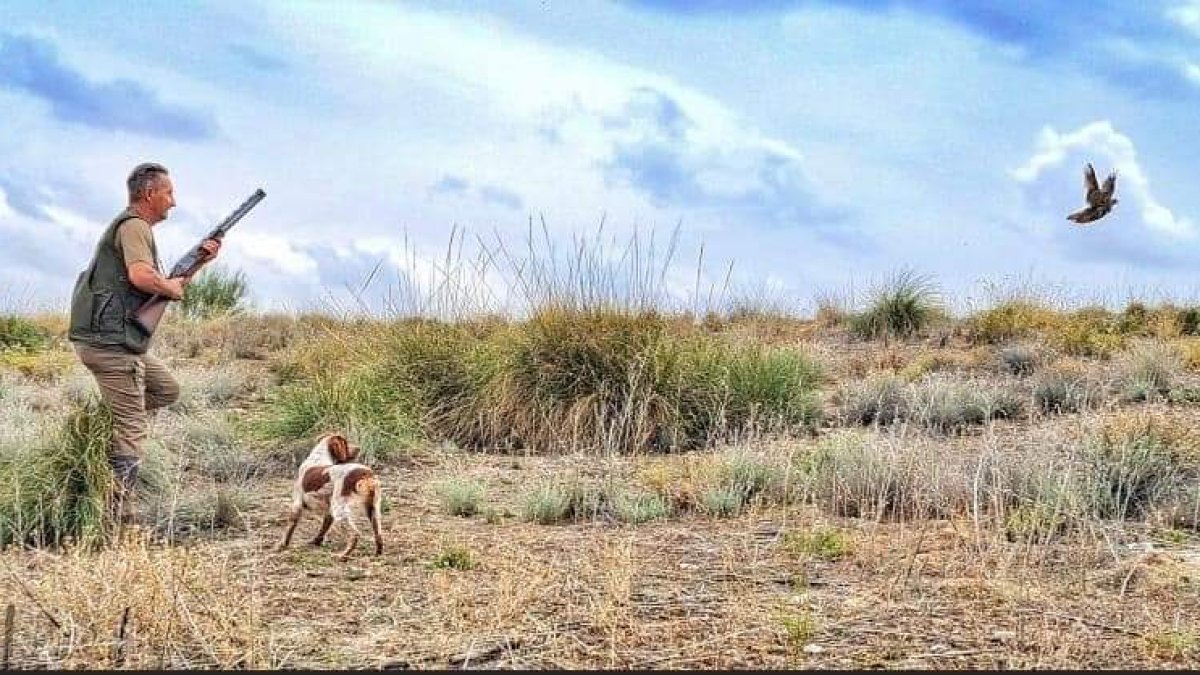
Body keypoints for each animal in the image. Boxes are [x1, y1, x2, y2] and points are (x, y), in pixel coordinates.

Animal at [274, 429, 381, 557]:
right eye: (346, 443)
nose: (358, 448)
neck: (318, 457)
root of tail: (365, 473)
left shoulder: (297, 504)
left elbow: (290, 528)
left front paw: (282, 545)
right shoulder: (328, 511)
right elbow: (324, 527)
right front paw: (316, 541)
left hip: (340, 509)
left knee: (355, 534)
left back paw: (343, 555)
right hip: (373, 509)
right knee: (378, 534)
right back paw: (378, 552)